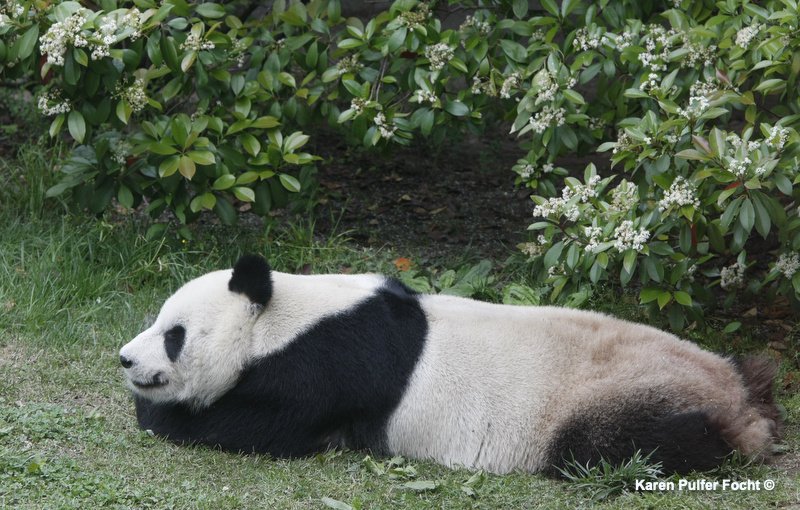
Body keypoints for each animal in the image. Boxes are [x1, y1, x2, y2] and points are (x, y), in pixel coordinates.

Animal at [119, 255, 780, 474]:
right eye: (158, 321)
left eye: (174, 335)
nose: (125, 359)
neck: (285, 314)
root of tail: (734, 396)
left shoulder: (328, 367)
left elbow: (265, 427)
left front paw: (158, 414)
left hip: (613, 400)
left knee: (617, 443)